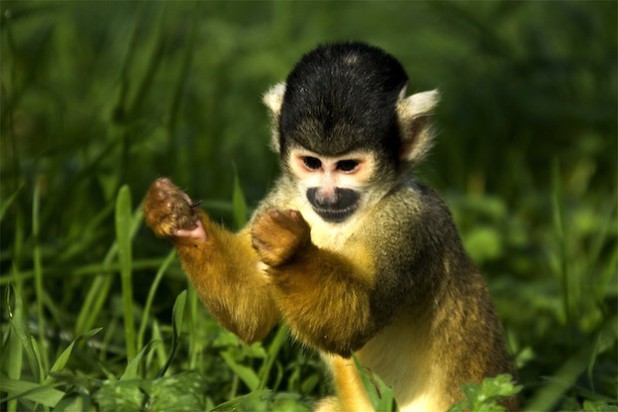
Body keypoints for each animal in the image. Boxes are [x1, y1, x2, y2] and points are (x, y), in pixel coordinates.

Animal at [143, 42, 516, 412]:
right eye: (311, 163)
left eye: (347, 166)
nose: (326, 195)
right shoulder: (283, 195)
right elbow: (251, 313)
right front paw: (179, 219)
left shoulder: (410, 221)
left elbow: (356, 321)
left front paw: (290, 248)